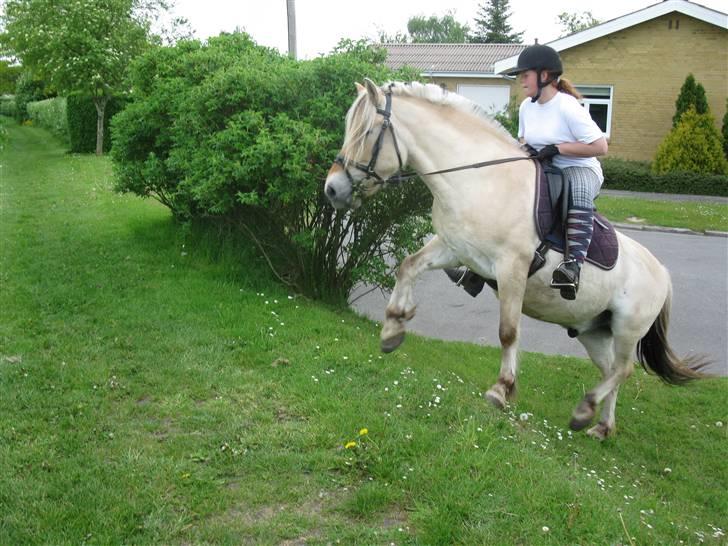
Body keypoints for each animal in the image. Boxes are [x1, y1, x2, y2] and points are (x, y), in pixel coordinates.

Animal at [322, 79, 700, 438]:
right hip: (593, 330)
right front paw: (392, 329)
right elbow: (407, 267)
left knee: (623, 369)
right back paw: (599, 425)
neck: (479, 178)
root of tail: (662, 273)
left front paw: (501, 390)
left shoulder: (512, 269)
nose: (332, 190)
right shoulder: (454, 248)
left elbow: (507, 332)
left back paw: (585, 408)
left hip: (626, 328)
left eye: (367, 132)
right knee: (611, 370)